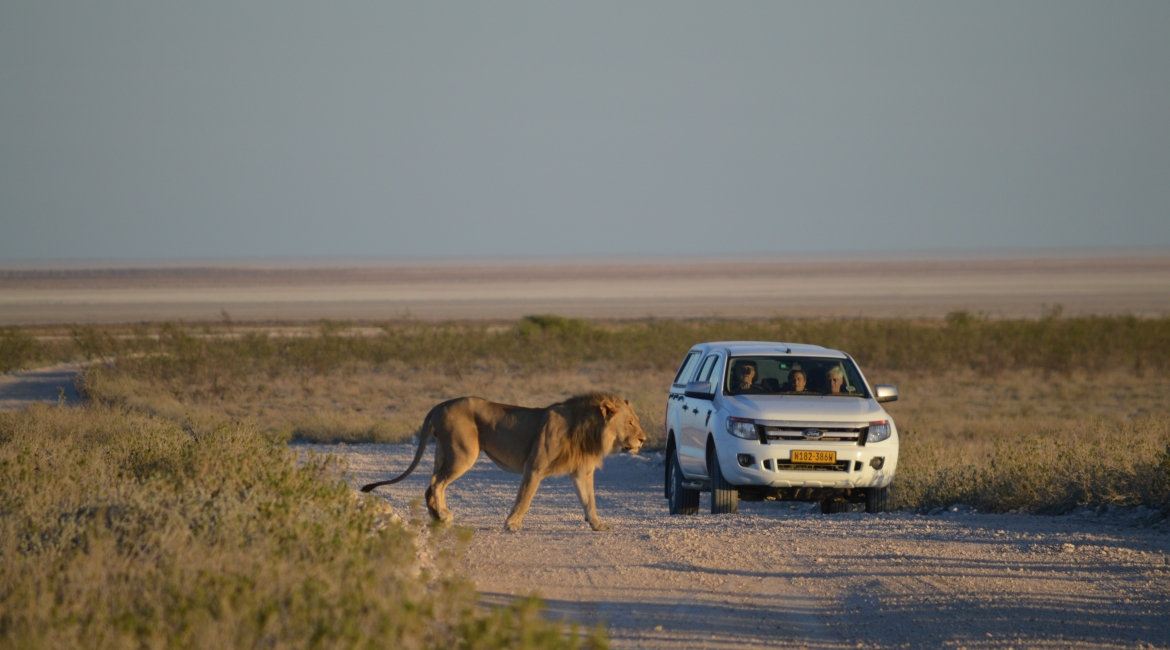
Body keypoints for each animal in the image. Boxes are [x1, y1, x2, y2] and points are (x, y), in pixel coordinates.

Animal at [360, 392, 645, 530]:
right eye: (630, 422)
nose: (643, 439)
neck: (589, 429)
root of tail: (439, 405)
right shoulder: (535, 465)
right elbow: (524, 498)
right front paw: (512, 525)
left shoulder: (582, 472)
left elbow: (590, 501)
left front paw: (597, 526)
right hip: (464, 451)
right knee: (437, 481)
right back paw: (443, 515)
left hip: (444, 450)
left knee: (430, 484)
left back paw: (437, 517)